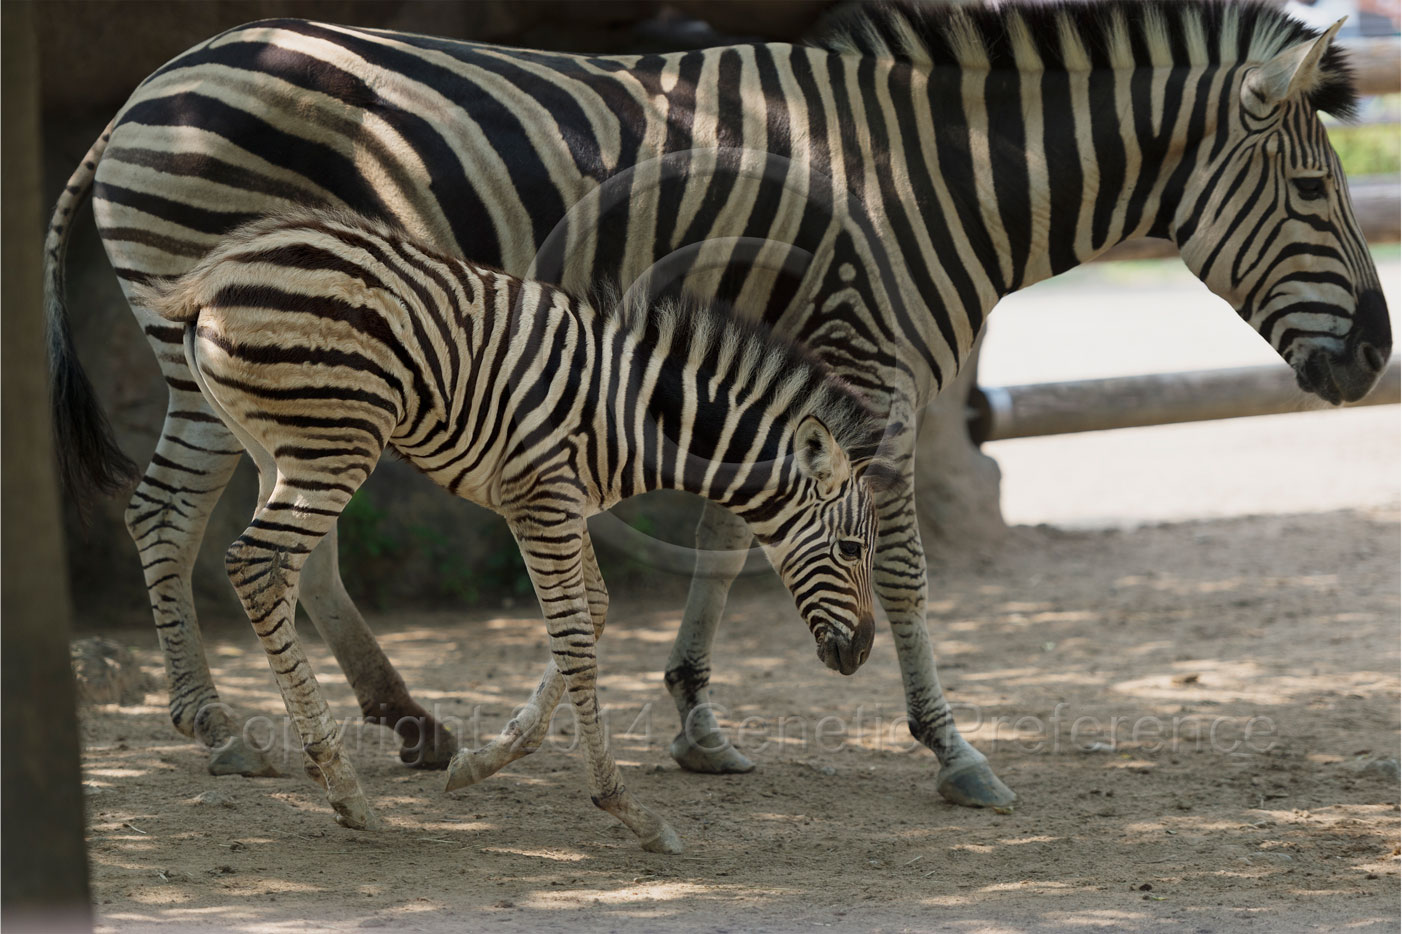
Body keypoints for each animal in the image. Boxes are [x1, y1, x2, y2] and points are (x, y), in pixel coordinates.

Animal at [133, 210, 897, 852]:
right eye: (853, 548)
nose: (862, 652)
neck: (640, 416)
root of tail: (216, 272)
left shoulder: (566, 504)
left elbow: (593, 612)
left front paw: (480, 762)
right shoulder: (542, 498)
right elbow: (578, 641)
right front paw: (628, 810)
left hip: (277, 447)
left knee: (278, 570)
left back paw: (333, 776)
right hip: (335, 443)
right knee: (257, 566)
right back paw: (343, 788)